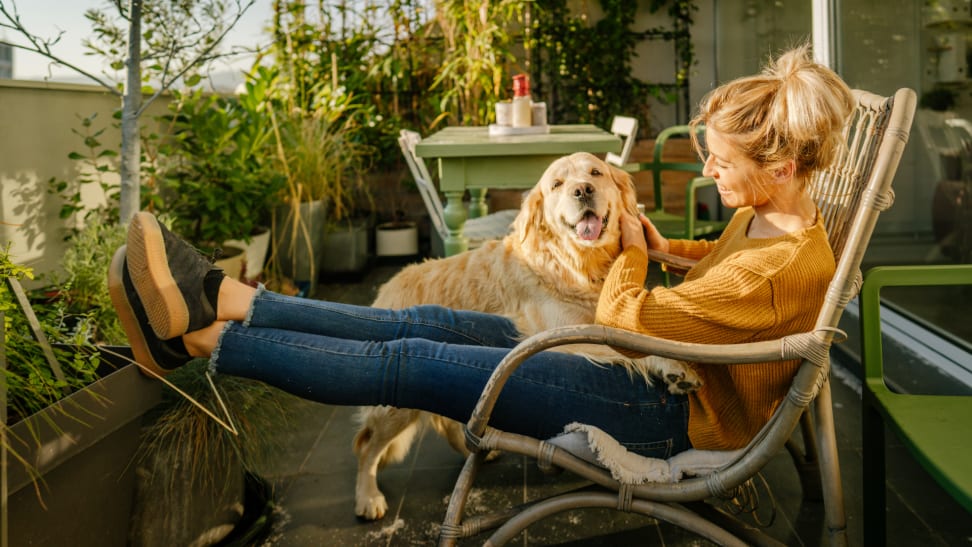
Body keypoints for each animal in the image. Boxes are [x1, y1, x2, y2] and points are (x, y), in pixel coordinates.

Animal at [352, 152, 700, 520]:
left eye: (596, 172)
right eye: (557, 185)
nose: (583, 190)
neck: (578, 264)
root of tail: (387, 286)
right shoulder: (567, 334)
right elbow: (630, 347)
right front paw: (674, 366)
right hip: (394, 409)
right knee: (366, 445)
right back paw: (368, 497)